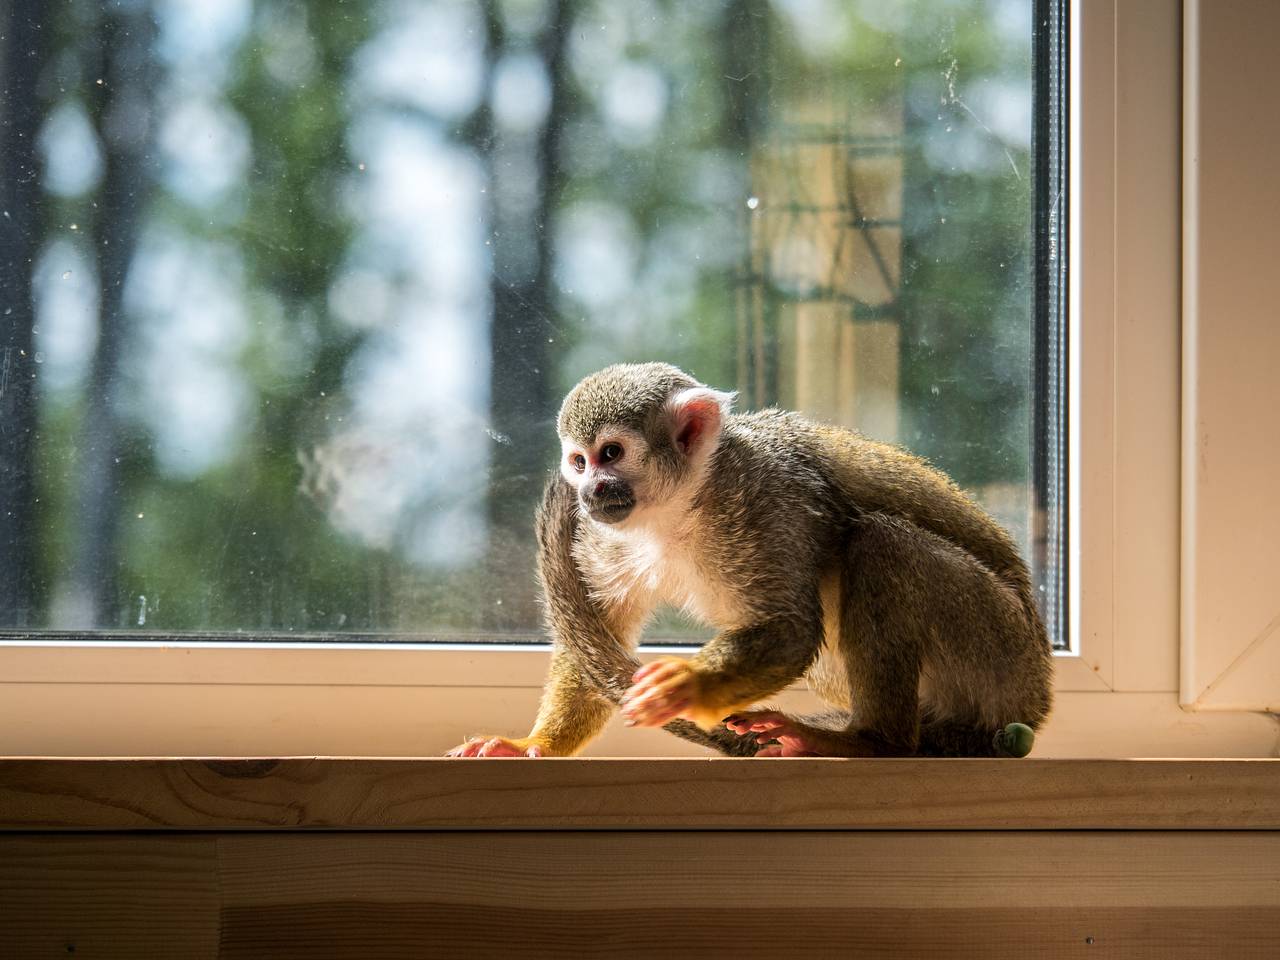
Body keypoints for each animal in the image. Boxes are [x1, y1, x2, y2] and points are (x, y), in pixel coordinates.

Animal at [448, 363, 1049, 757]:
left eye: (611, 454)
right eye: (579, 460)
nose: (592, 490)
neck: (685, 500)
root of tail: (1033, 701)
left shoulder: (764, 500)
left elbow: (792, 627)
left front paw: (687, 686)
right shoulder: (606, 533)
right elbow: (603, 634)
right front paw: (537, 745)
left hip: (998, 647)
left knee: (882, 543)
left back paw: (874, 741)